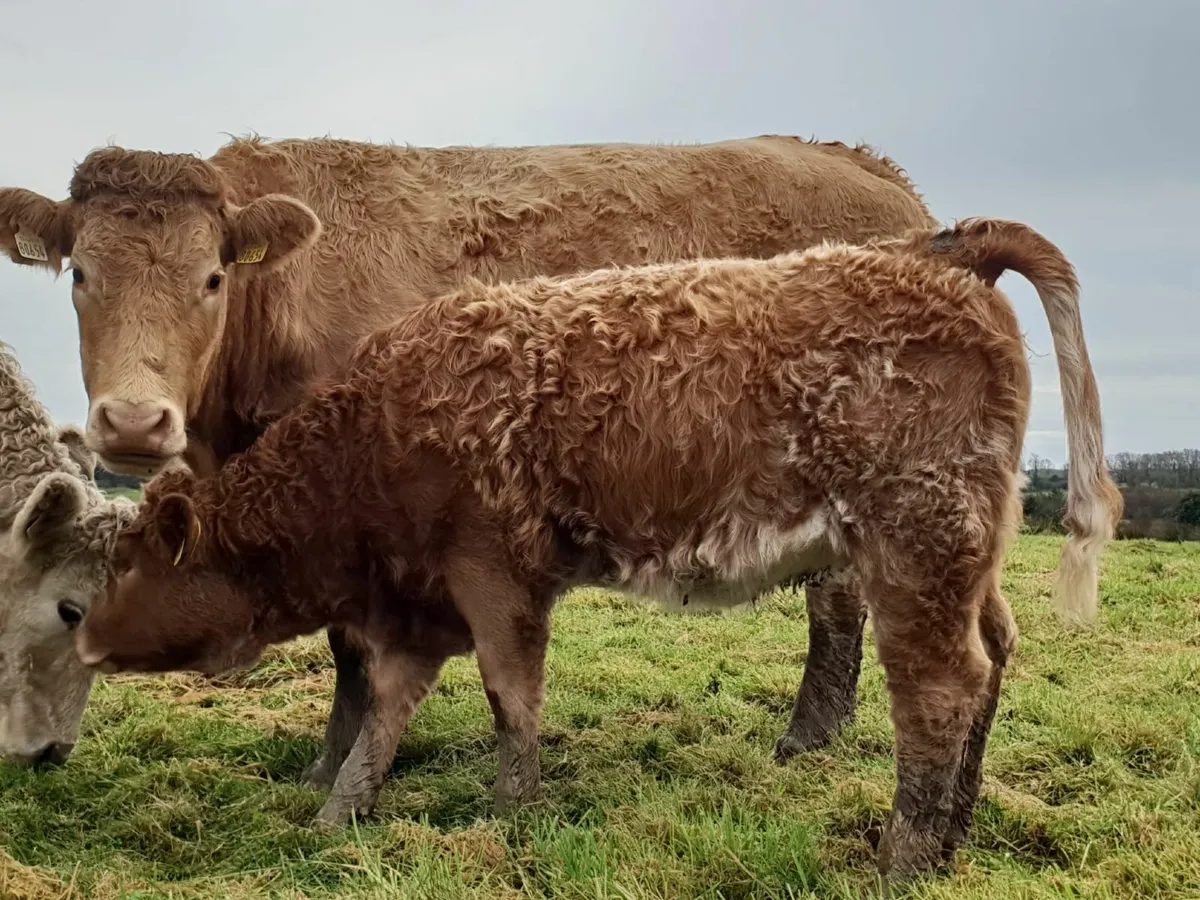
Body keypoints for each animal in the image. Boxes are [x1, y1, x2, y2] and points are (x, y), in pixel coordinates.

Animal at [75, 218, 1122, 887]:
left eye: (127, 564)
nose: (78, 632)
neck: (376, 429)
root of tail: (939, 252)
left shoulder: (495, 571)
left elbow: (510, 696)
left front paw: (511, 817)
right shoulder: (416, 600)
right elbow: (387, 711)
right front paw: (339, 815)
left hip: (914, 544)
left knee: (941, 687)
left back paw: (904, 861)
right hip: (966, 555)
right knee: (996, 655)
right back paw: (956, 834)